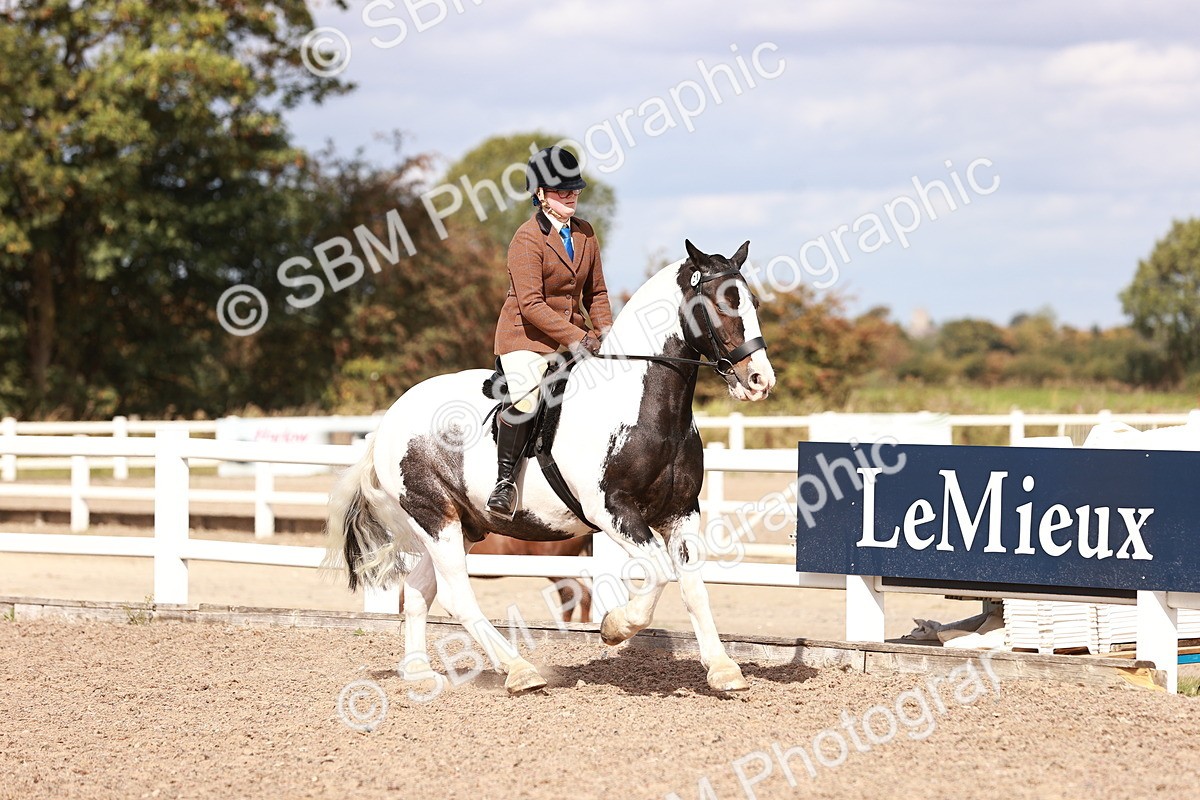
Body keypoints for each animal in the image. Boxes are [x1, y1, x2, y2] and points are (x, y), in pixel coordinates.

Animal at [325, 239, 776, 694]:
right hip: (434, 517)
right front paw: (614, 628)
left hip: (465, 524)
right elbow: (660, 573)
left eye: (752, 301)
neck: (646, 408)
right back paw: (519, 670)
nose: (760, 380)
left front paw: (723, 669)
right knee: (457, 596)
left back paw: (419, 673)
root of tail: (388, 420)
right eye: (722, 303)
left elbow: (694, 587)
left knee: (419, 589)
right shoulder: (612, 511)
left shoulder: (681, 512)